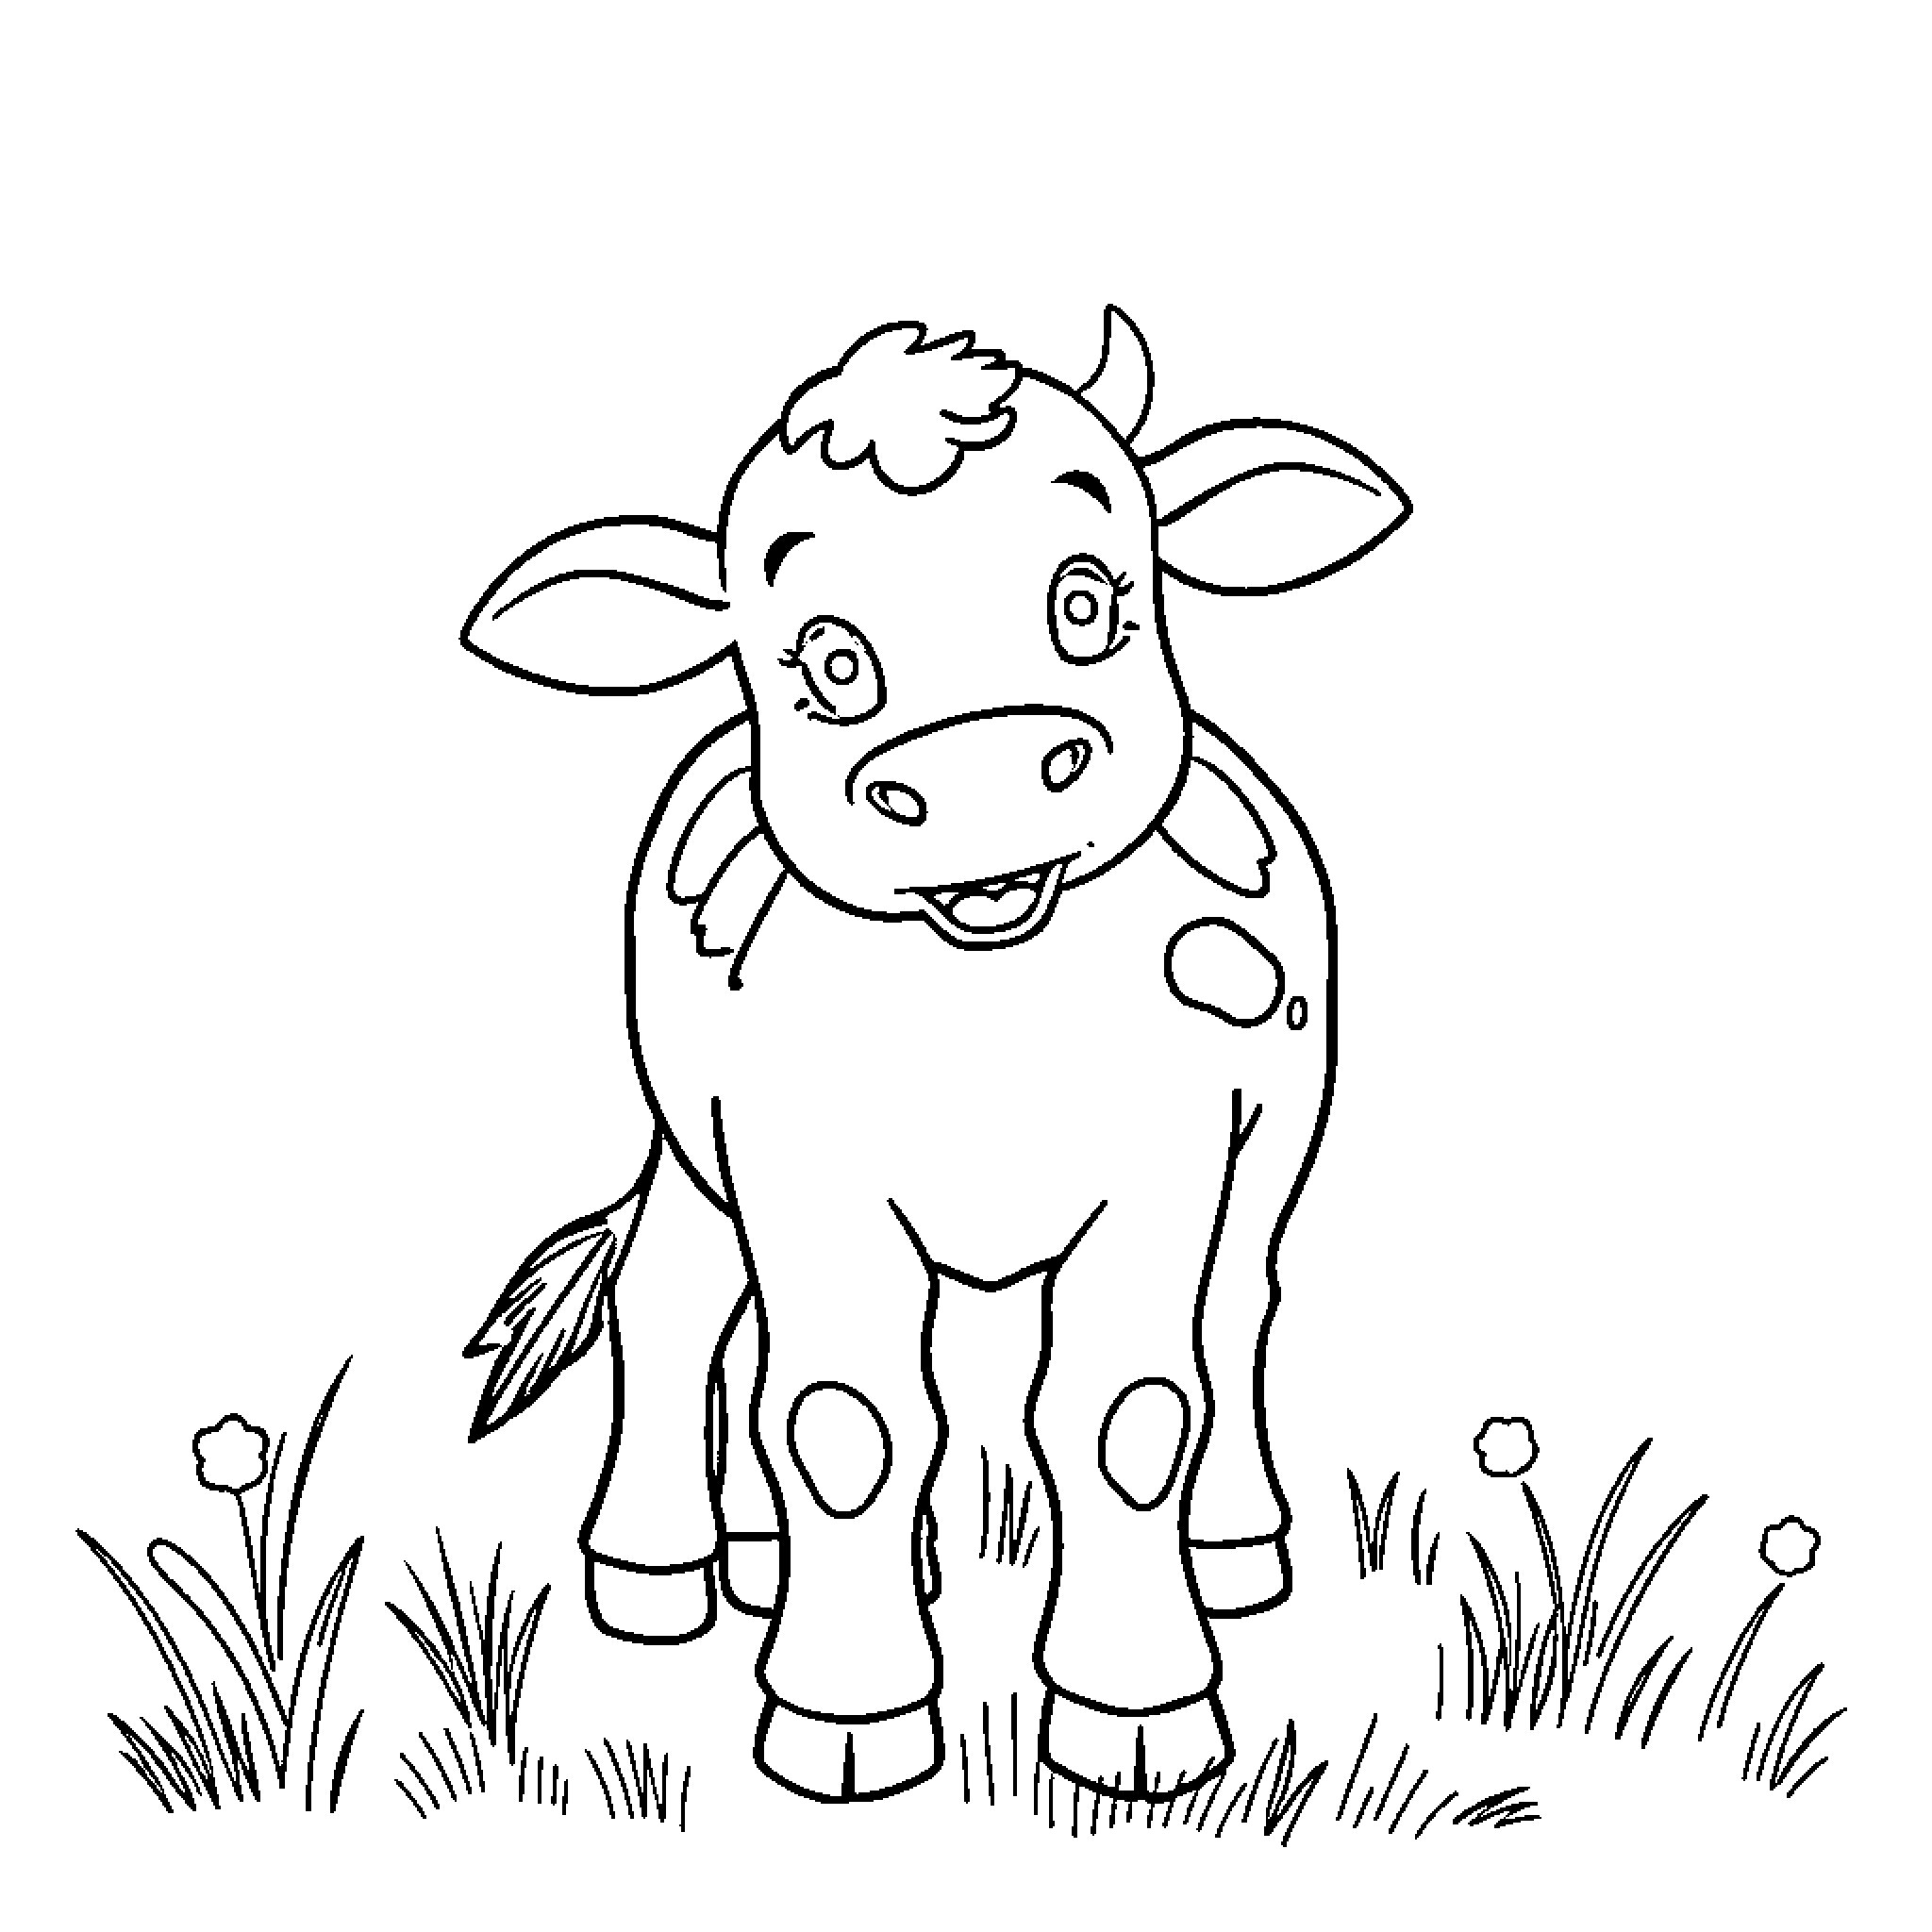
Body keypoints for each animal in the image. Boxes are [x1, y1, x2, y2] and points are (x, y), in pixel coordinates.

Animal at [459, 309, 1409, 1803]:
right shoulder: (801, 1169)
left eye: (1089, 601)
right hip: (695, 1146)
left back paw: (1228, 1546)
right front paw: (848, 1712)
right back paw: (669, 1569)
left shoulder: (1169, 1164)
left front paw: (1135, 1712)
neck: (988, 1002)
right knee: (681, 1301)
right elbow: (844, 1422)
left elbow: (1129, 1415)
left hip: (1269, 1152)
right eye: (827, 661)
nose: (985, 772)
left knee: (1235, 1309)